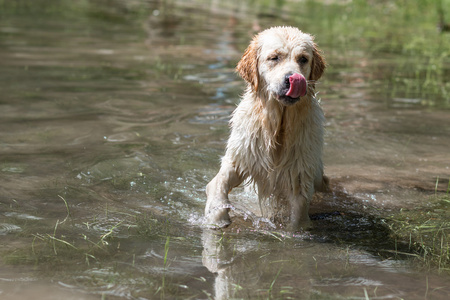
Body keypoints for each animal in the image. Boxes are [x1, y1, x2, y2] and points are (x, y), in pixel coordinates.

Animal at [206, 26, 328, 230]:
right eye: (274, 58)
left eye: (303, 59)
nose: (293, 79)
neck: (278, 126)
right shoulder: (242, 157)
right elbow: (218, 183)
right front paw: (217, 217)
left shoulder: (300, 173)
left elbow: (299, 210)